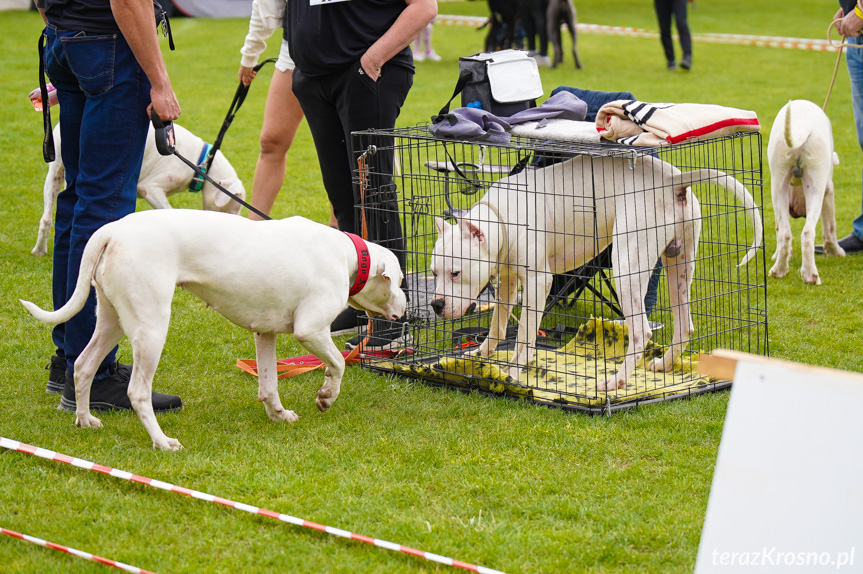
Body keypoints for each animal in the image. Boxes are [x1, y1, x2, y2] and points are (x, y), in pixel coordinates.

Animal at [20, 209, 404, 452]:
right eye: (399, 280)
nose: (406, 310)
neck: (349, 256)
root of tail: (113, 229)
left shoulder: (265, 334)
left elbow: (269, 384)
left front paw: (278, 414)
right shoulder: (309, 330)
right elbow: (337, 364)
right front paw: (326, 396)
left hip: (112, 319)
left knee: (84, 366)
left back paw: (85, 419)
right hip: (151, 327)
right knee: (137, 392)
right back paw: (162, 442)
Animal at [31, 125, 246, 258]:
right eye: (233, 208)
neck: (202, 164)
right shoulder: (151, 188)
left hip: (57, 176)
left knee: (47, 218)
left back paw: (40, 249)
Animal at [430, 154, 764, 392]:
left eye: (456, 273)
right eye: (433, 272)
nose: (436, 305)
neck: (501, 218)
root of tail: (672, 180)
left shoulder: (538, 282)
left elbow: (524, 334)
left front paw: (512, 371)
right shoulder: (509, 281)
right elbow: (498, 326)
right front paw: (480, 356)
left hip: (627, 267)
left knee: (641, 332)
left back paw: (615, 382)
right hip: (678, 264)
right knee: (684, 326)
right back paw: (664, 365)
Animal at [768, 100, 844, 286]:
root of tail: (802, 125)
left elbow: (778, 228)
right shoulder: (828, 191)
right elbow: (830, 227)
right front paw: (835, 251)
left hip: (778, 183)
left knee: (785, 233)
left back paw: (779, 270)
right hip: (817, 183)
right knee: (809, 232)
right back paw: (810, 275)